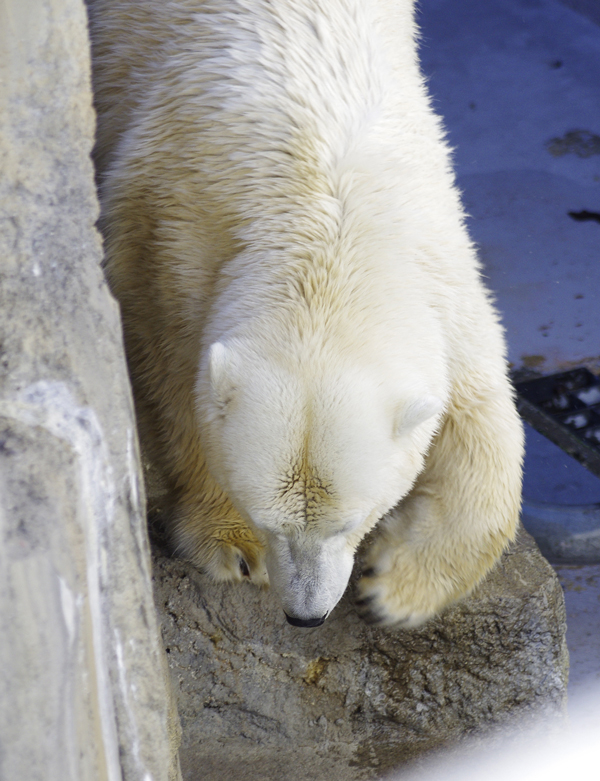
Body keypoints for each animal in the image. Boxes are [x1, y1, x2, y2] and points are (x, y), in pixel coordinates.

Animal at [86, 0, 524, 624]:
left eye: (354, 522)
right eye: (266, 519)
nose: (306, 615)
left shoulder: (439, 274)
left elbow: (481, 413)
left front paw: (395, 591)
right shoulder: (169, 234)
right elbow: (166, 375)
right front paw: (230, 542)